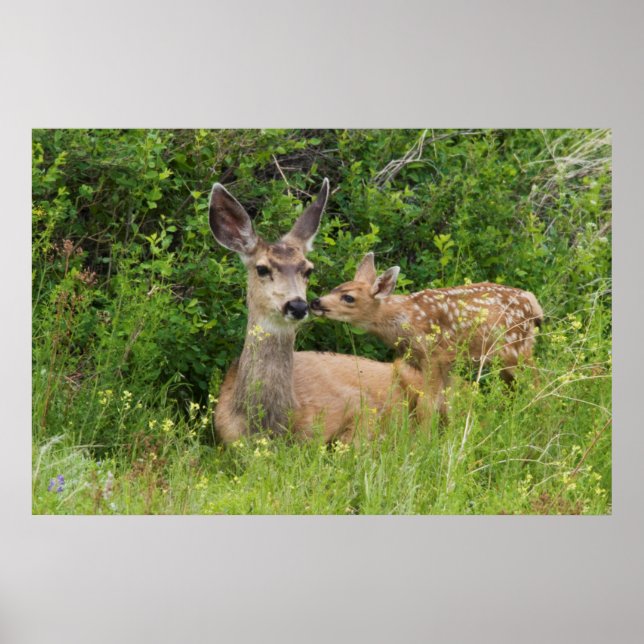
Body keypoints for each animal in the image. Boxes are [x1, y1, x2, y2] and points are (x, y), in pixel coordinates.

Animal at [310, 252, 543, 419]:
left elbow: (428, 405)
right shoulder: (444, 362)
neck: (405, 320)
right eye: (336, 288)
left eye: (348, 297)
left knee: (536, 383)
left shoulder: (434, 354)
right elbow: (446, 404)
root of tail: (532, 302)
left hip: (514, 347)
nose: (315, 302)